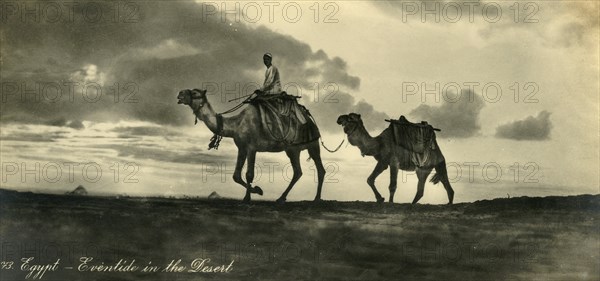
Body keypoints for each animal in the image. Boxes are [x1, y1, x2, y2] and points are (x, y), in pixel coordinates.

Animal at [178, 89, 326, 201]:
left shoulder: (252, 148)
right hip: (292, 150)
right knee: (298, 172)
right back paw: (282, 198)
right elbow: (236, 176)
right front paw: (257, 190)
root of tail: (309, 119)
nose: (180, 94)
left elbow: (249, 174)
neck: (236, 125)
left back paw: (316, 198)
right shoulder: (242, 148)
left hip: (312, 144)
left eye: (194, 92)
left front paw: (248, 197)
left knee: (319, 170)